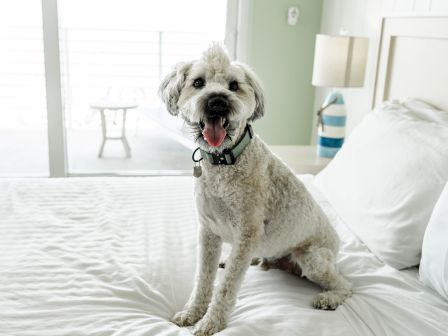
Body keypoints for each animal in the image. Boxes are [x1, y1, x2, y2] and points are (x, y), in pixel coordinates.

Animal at [159, 44, 352, 336]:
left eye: (234, 85)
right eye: (198, 83)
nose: (217, 101)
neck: (225, 161)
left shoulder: (247, 233)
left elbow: (226, 286)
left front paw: (211, 322)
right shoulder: (208, 231)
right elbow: (203, 278)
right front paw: (192, 312)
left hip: (312, 257)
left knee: (346, 285)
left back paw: (329, 297)